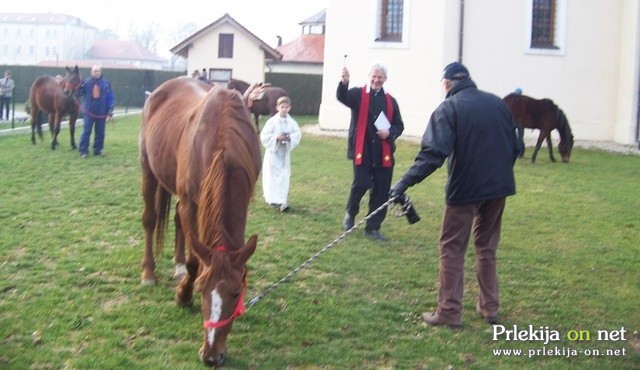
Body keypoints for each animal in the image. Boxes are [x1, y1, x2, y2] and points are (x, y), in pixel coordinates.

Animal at [139, 78, 262, 368]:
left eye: (236, 293)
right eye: (202, 289)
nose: (211, 356)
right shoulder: (189, 202)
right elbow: (197, 261)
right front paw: (183, 295)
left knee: (177, 222)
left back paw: (178, 265)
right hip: (149, 169)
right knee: (150, 220)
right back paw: (149, 273)